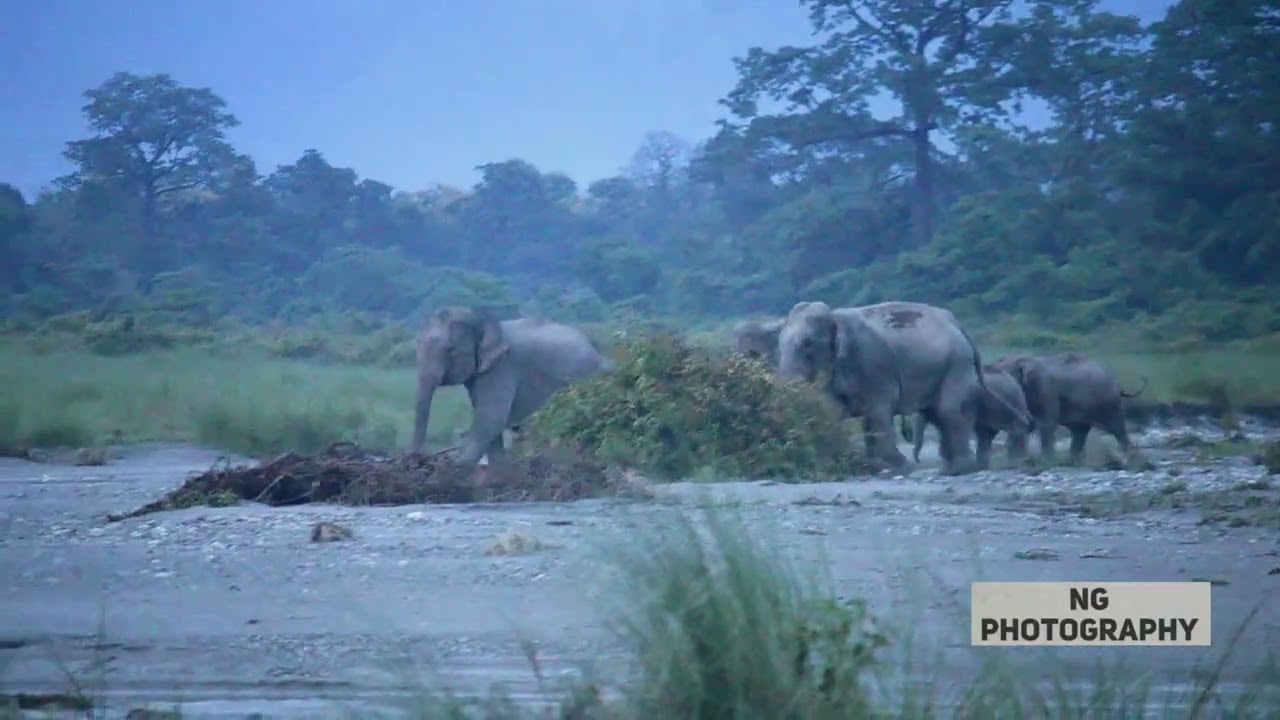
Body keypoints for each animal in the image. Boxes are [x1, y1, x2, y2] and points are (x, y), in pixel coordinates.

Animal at [410, 306, 610, 475]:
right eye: (417, 343)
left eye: (451, 350)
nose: (420, 460)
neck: (482, 319)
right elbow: (491, 423)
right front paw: (499, 472)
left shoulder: (502, 368)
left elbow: (490, 418)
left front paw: (455, 469)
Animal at [904, 364, 1035, 470]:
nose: (918, 461)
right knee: (986, 434)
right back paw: (983, 466)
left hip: (1015, 402)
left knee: (1015, 430)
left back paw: (1016, 460)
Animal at [992, 352, 1149, 464]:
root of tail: (1120, 387)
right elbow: (1028, 423)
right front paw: (1015, 458)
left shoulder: (1046, 389)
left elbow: (1046, 422)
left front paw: (1046, 460)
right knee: (1080, 431)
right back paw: (1072, 461)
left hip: (1110, 404)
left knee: (1117, 428)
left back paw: (1133, 458)